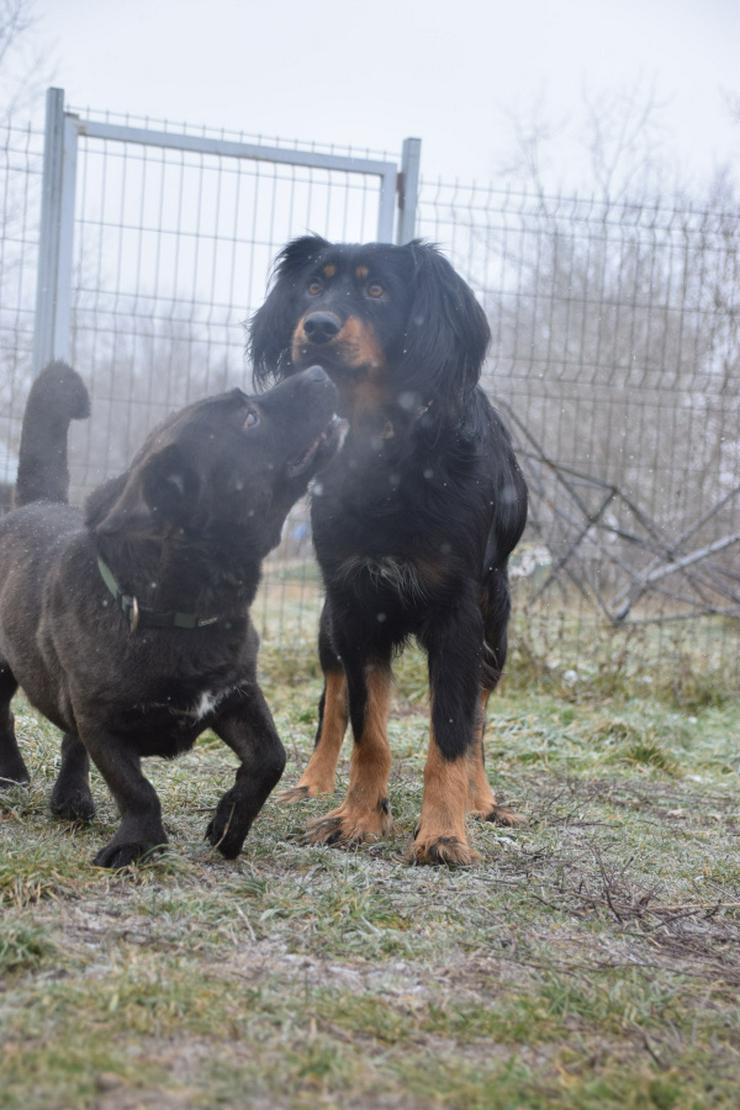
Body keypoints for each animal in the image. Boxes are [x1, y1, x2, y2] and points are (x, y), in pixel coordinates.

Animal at [0, 364, 341, 865]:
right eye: (250, 420)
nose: (318, 370)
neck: (182, 611)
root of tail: (33, 504)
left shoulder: (237, 694)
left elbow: (270, 759)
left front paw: (228, 827)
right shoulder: (101, 722)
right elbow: (136, 789)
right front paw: (137, 844)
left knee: (69, 741)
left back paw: (71, 798)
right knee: (7, 716)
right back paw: (12, 775)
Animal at [251, 234, 530, 861]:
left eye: (377, 290)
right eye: (313, 285)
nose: (318, 325)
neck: (386, 450)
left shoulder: (457, 614)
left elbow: (452, 734)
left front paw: (445, 832)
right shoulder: (356, 603)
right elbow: (366, 728)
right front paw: (357, 817)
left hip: (494, 625)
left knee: (478, 716)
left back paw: (482, 799)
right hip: (329, 622)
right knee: (332, 702)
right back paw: (312, 782)